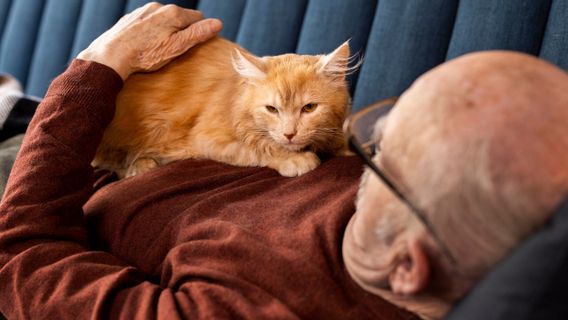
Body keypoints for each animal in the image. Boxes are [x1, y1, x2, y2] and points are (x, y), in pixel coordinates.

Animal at [91, 37, 352, 179]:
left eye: (309, 108)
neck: (236, 97)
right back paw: (140, 166)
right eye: (272, 109)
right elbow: (257, 149)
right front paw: (295, 160)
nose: (289, 134)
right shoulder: (208, 138)